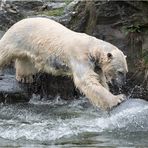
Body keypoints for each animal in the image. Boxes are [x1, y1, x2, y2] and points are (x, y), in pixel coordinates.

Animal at [0, 17, 128, 110]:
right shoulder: (80, 57)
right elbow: (86, 80)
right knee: (4, 52)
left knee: (25, 59)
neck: (91, 47)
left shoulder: (95, 65)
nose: (122, 84)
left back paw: (25, 77)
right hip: (16, 38)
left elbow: (100, 79)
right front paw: (118, 99)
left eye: (126, 72)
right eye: (120, 72)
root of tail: (17, 22)